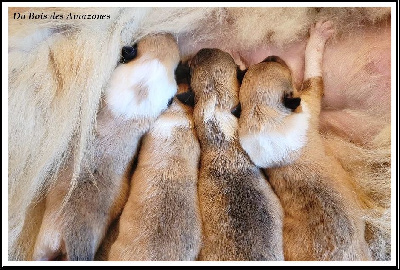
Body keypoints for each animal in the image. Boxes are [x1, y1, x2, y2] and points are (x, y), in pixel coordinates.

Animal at [238, 21, 372, 262]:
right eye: (275, 63)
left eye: (264, 62)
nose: (271, 55)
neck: (261, 114)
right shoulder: (309, 97)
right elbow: (313, 70)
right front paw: (319, 35)